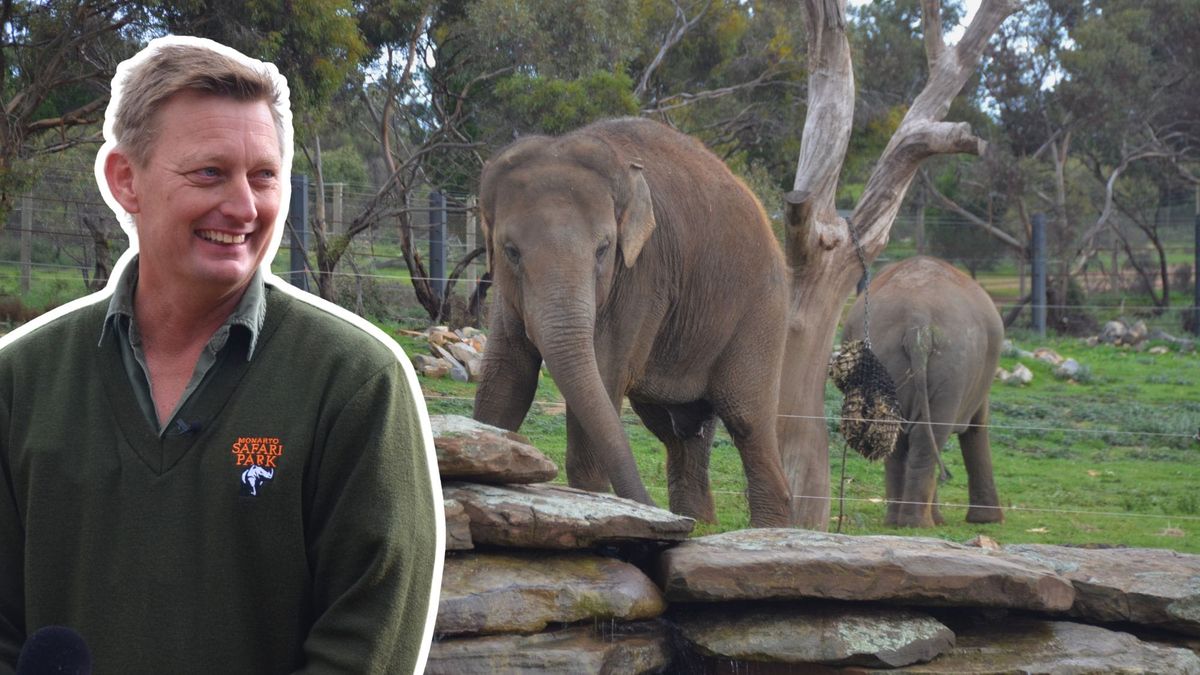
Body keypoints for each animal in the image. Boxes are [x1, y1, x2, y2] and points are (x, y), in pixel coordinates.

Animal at [472, 117, 791, 527]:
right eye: (510, 251)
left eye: (603, 249)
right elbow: (507, 378)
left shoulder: (641, 276)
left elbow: (603, 376)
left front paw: (594, 504)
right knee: (681, 433)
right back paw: (700, 523)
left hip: (762, 311)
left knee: (747, 421)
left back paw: (765, 531)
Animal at [841, 256, 1004, 528]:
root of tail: (918, 322)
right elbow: (977, 426)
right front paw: (988, 522)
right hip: (954, 366)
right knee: (927, 437)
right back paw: (920, 523)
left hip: (892, 357)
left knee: (902, 437)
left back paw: (901, 522)